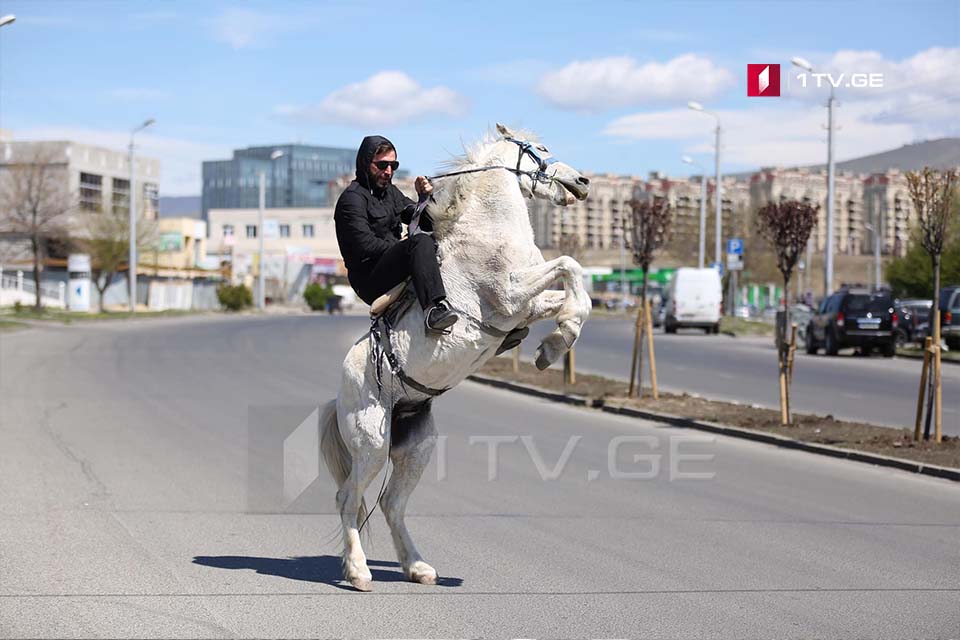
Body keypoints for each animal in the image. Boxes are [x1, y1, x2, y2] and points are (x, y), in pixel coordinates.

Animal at [322, 122, 588, 592]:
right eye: (540, 147)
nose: (582, 182)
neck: (488, 227)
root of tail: (340, 394)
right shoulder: (512, 294)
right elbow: (569, 264)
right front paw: (557, 342)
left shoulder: (525, 305)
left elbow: (576, 293)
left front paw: (555, 343)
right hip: (372, 445)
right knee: (348, 497)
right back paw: (358, 572)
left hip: (416, 449)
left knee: (391, 504)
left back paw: (418, 568)